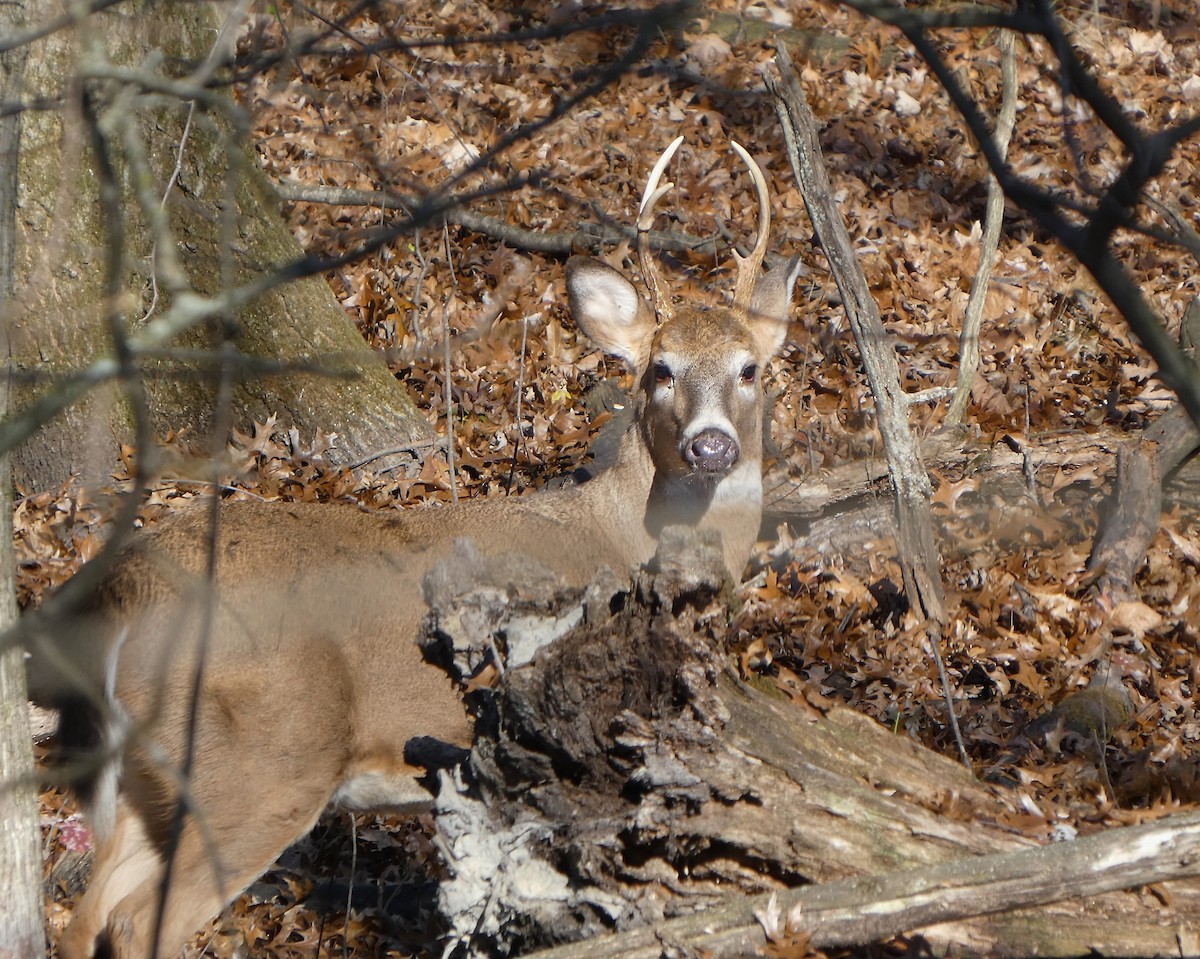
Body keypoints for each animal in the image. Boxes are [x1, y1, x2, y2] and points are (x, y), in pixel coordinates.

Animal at [33, 137, 802, 959]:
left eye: (750, 368)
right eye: (660, 369)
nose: (711, 444)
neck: (623, 528)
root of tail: (128, 588)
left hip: (147, 779)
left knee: (88, 912)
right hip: (256, 766)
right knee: (140, 917)